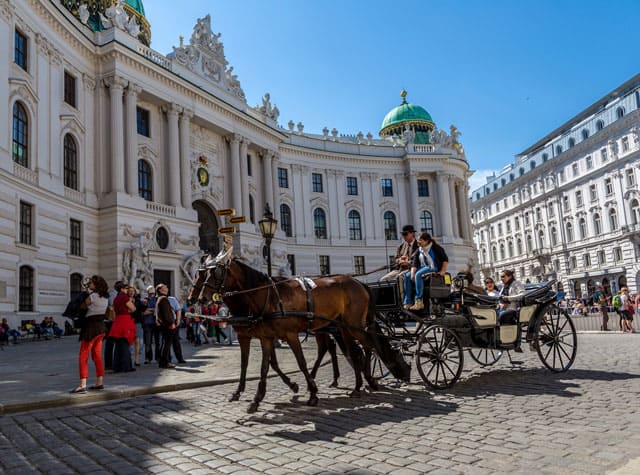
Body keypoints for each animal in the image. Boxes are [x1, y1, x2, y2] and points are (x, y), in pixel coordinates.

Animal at [199, 249, 380, 412]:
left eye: (217, 272)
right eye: (204, 273)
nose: (201, 298)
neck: (270, 297)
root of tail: (358, 282)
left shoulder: (289, 334)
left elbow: (301, 362)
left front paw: (312, 393)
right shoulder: (264, 337)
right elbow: (262, 366)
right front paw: (256, 398)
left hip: (353, 325)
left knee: (368, 346)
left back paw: (370, 380)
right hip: (343, 327)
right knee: (353, 351)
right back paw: (358, 386)